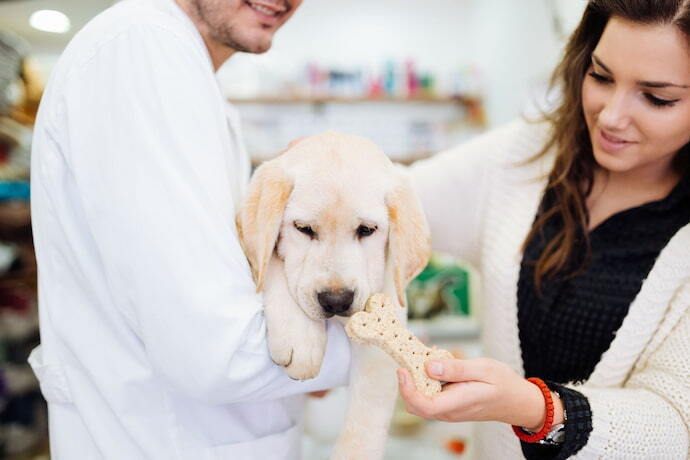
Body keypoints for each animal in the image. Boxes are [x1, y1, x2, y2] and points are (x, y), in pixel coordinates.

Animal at [236, 131, 430, 458]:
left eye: (367, 230)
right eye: (303, 228)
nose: (336, 300)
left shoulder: (382, 333)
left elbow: (364, 424)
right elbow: (273, 262)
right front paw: (300, 338)